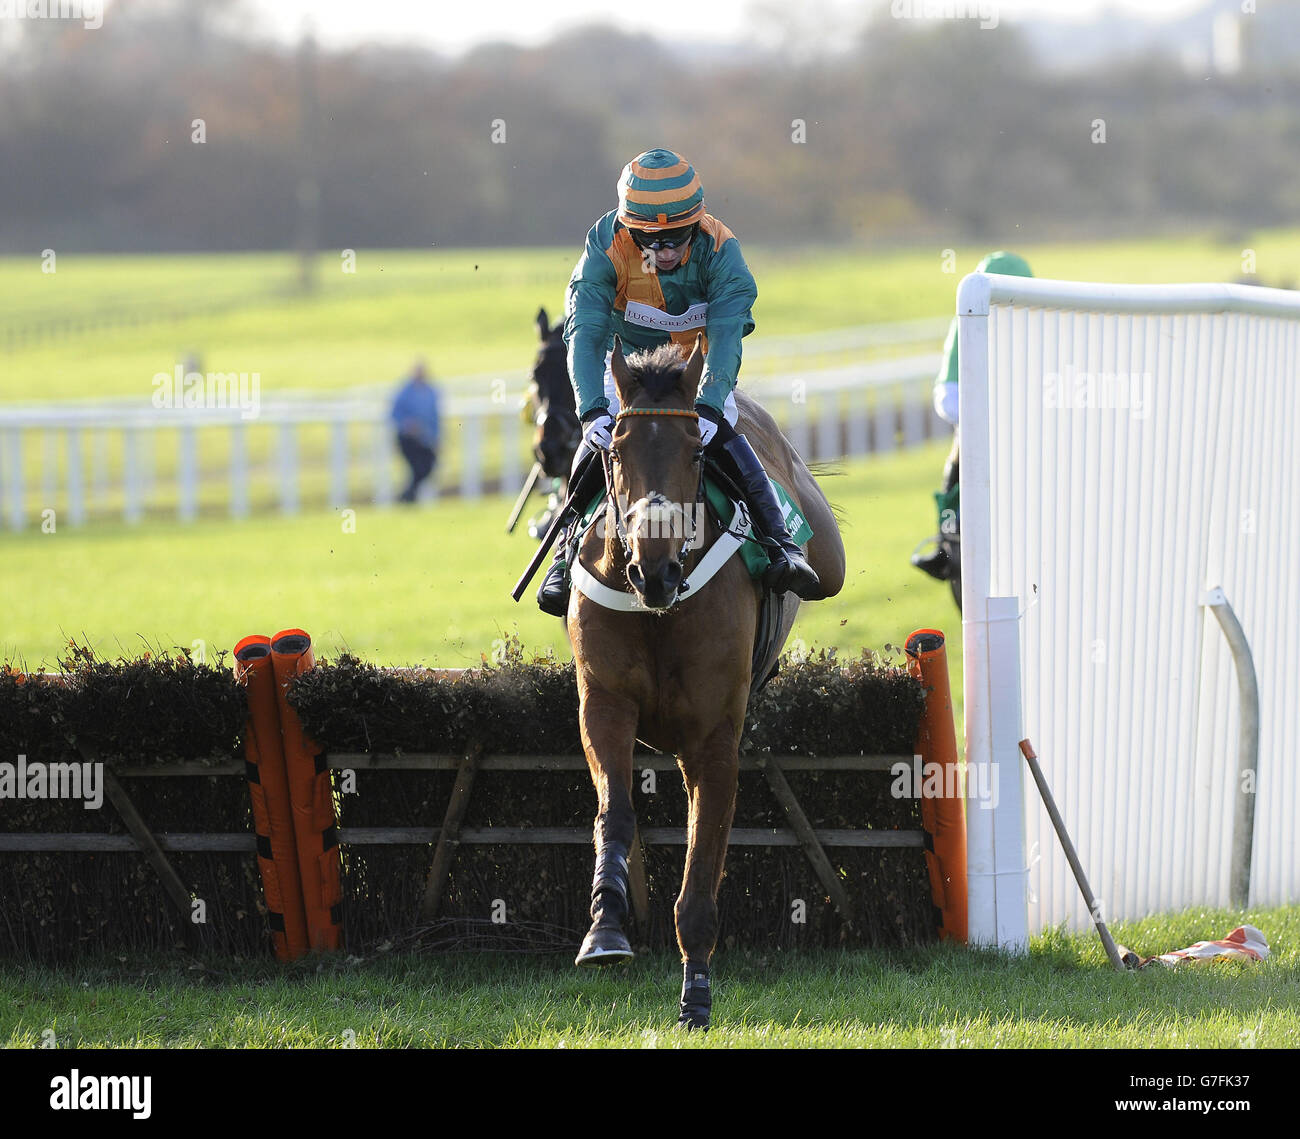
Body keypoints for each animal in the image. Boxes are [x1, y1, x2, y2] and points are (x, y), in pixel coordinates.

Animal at [569, 331, 842, 1029]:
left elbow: (704, 860)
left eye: (697, 450)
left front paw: (695, 995)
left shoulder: (714, 736)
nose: (655, 569)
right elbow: (615, 811)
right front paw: (604, 927)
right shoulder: (603, 704)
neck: (661, 608)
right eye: (613, 450)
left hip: (829, 559)